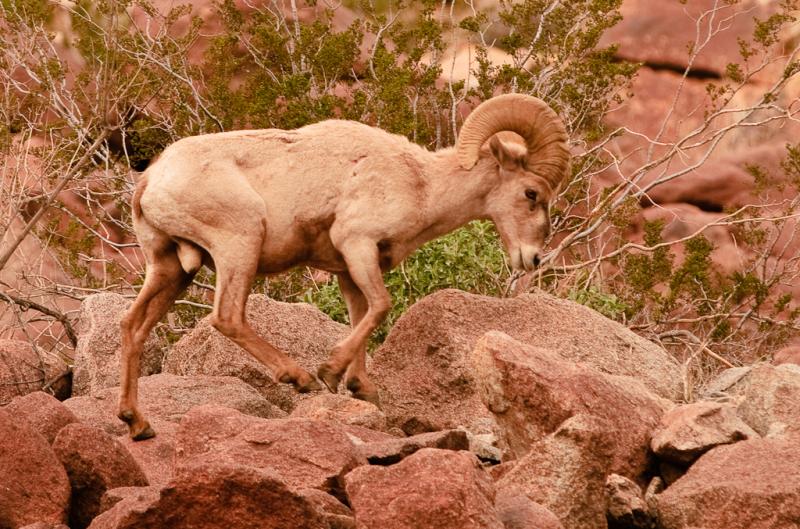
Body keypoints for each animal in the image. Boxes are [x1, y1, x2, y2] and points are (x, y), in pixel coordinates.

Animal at [118, 94, 570, 440]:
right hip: (239, 243)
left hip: (172, 268)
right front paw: (330, 371)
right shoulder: (358, 245)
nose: (533, 258)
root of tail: (151, 180)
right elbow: (382, 307)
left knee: (133, 326)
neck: (422, 185)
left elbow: (361, 316)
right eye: (532, 193)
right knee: (227, 317)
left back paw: (137, 423)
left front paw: (361, 389)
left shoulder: (347, 271)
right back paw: (299, 377)